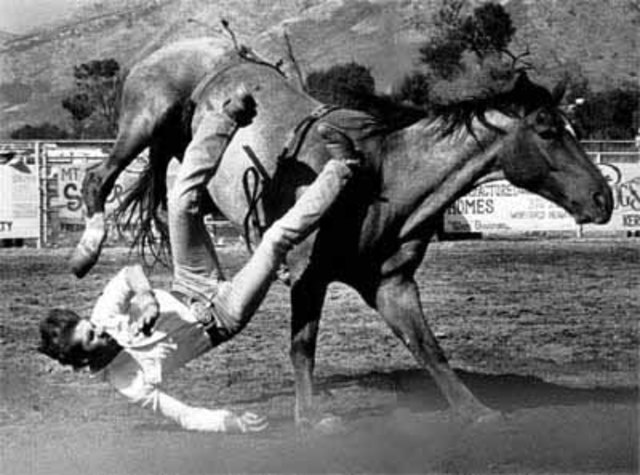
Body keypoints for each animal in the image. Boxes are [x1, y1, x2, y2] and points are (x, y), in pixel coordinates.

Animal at [71, 38, 613, 429]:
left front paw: (476, 412)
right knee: (97, 179)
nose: (604, 198)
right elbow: (302, 348)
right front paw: (309, 419)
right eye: (548, 130)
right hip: (144, 120)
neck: (383, 178)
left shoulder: (392, 284)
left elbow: (428, 348)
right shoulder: (307, 278)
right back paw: (85, 250)